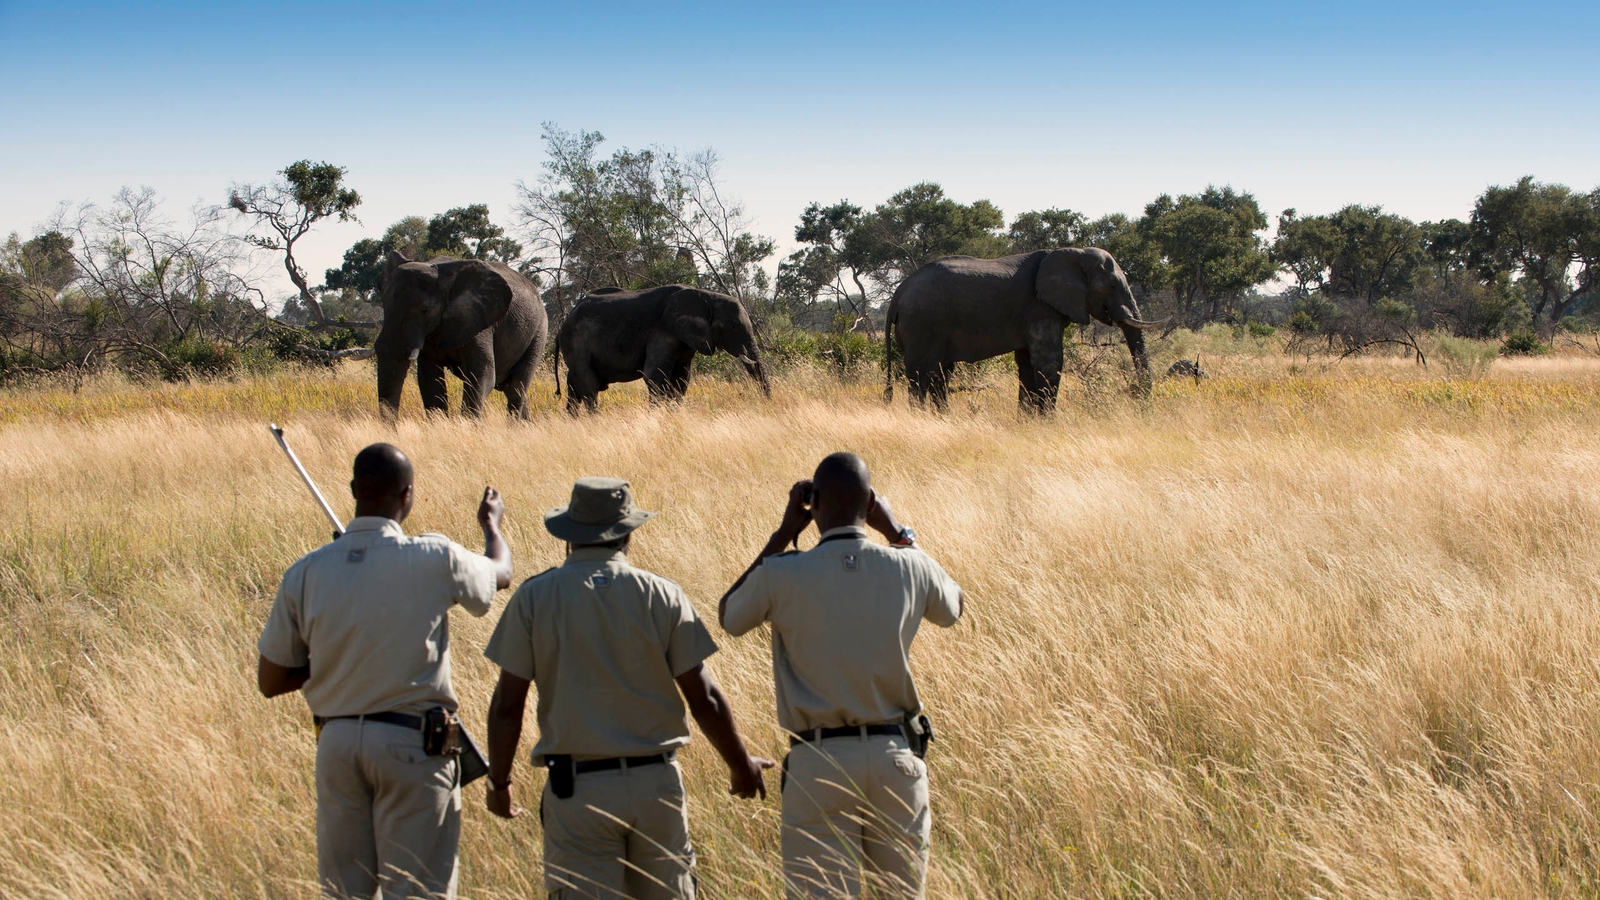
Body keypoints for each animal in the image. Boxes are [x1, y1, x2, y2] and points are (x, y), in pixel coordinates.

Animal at [375, 251, 549, 419]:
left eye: (425, 310)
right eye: (384, 306)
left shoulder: (479, 322)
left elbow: (482, 375)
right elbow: (429, 379)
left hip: (538, 332)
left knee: (516, 387)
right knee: (513, 389)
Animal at [553, 284, 770, 413]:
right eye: (733, 326)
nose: (767, 403)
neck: (705, 295)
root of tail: (562, 326)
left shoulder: (684, 339)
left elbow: (682, 378)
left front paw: (676, 413)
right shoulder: (663, 332)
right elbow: (654, 376)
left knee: (574, 386)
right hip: (576, 344)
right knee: (588, 385)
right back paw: (595, 419)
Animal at [884, 248, 1166, 412]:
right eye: (1112, 286)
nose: (1137, 396)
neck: (1072, 252)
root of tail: (898, 293)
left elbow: (1028, 364)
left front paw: (1027, 422)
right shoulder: (1039, 307)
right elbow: (1049, 362)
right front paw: (1048, 423)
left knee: (941, 375)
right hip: (922, 324)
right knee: (923, 375)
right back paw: (922, 418)